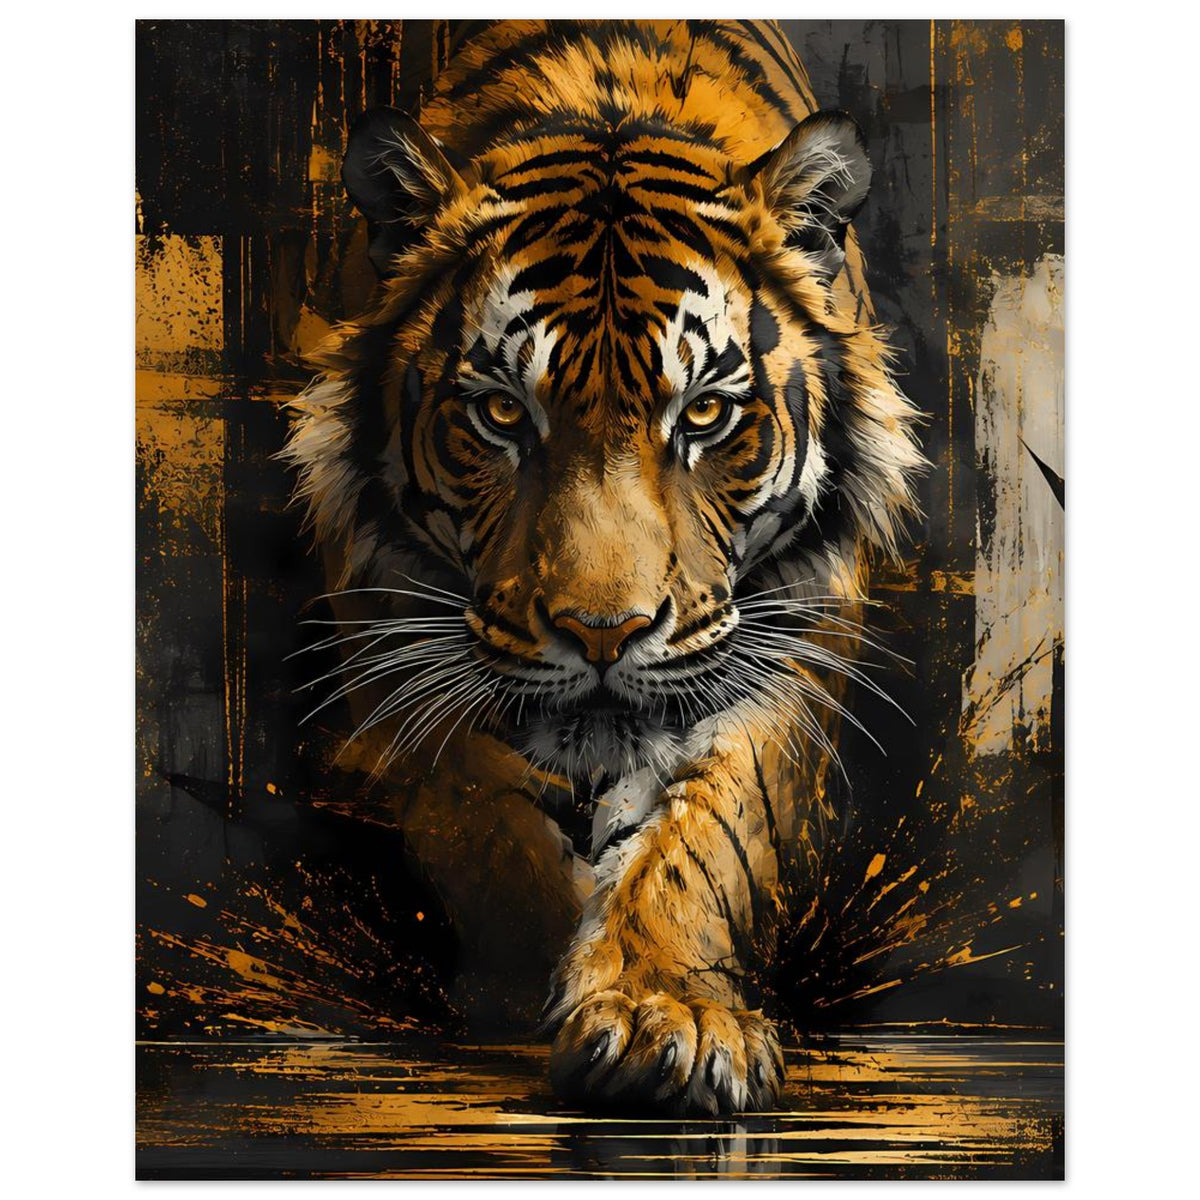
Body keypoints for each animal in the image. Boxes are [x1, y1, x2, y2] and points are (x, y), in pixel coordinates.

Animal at [284, 19, 924, 1115]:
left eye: (704, 413)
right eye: (503, 413)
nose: (601, 633)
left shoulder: (788, 640)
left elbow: (705, 838)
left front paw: (665, 1020)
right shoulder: (394, 629)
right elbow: (484, 826)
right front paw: (523, 987)